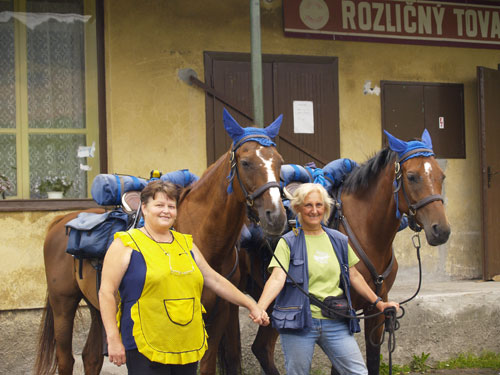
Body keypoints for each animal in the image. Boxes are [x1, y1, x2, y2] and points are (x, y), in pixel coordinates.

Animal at [34, 107, 286, 374]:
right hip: (63, 304)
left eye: (280, 162)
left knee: (91, 357)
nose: (276, 216)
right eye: (246, 162)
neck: (207, 242)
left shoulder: (220, 314)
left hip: (97, 305)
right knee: (66, 359)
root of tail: (61, 221)